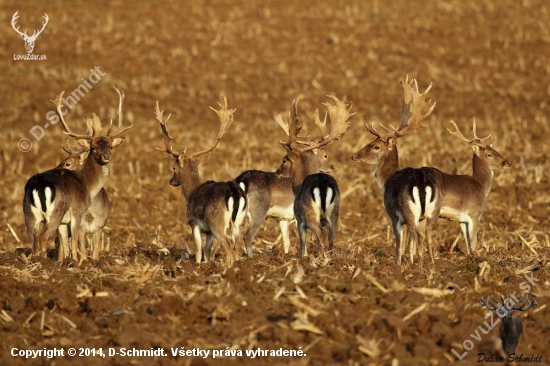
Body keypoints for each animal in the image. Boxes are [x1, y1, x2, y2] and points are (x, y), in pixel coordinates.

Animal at [23, 87, 133, 262]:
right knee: (42, 236)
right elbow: (75, 241)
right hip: (55, 212)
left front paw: (66, 261)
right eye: (93, 147)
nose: (106, 156)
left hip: (28, 212)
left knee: (33, 238)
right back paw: (44, 262)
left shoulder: (65, 222)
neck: (87, 185)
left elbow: (65, 242)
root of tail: (39, 185)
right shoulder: (76, 212)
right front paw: (76, 262)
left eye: (110, 146)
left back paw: (34, 261)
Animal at [156, 97, 249, 268]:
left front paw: (197, 266)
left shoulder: (193, 221)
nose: (172, 182)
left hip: (217, 221)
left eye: (173, 167)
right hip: (240, 221)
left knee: (228, 246)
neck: (190, 194)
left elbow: (199, 249)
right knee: (237, 245)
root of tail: (234, 194)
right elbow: (207, 251)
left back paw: (227, 268)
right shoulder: (209, 231)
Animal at [274, 96, 356, 258]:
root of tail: (323, 187)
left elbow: (303, 243)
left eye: (285, 160)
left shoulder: (299, 219)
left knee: (321, 235)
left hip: (310, 214)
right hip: (334, 212)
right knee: (330, 238)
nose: (277, 172)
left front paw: (302, 258)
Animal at [352, 78, 442, 266]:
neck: (386, 181)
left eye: (375, 146)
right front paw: (411, 260)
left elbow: (399, 241)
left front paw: (399, 263)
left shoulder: (394, 215)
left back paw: (421, 266)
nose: (354, 155)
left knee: (419, 236)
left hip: (408, 211)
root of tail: (421, 184)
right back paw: (430, 264)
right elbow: (410, 242)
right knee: (427, 235)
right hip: (432, 212)